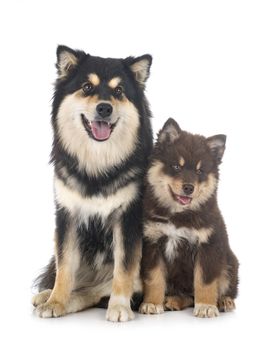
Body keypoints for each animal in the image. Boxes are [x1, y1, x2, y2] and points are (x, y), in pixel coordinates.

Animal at [31, 45, 153, 322]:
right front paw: (56, 301)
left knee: (96, 290)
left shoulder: (127, 218)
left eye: (119, 91)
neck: (98, 166)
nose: (104, 108)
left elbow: (124, 268)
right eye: (87, 87)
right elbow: (65, 267)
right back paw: (47, 296)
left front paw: (119, 307)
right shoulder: (67, 215)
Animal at [139, 117, 238, 318]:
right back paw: (172, 301)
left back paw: (224, 301)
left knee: (222, 288)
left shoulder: (208, 245)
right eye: (177, 166)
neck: (179, 215)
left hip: (230, 263)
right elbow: (154, 279)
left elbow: (205, 282)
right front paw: (152, 303)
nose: (188, 188)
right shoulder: (153, 243)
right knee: (186, 296)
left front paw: (206, 306)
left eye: (200, 171)